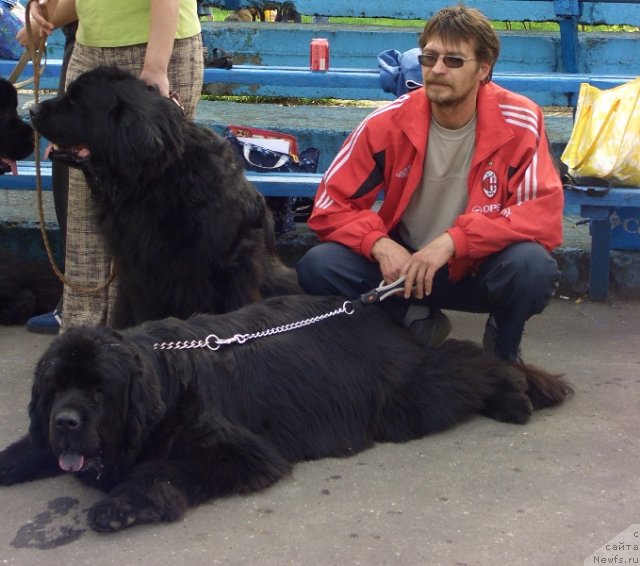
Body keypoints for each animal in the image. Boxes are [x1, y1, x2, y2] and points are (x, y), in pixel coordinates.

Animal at [0, 296, 572, 536]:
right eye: (57, 388)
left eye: (99, 390)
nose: (67, 422)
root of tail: (365, 309)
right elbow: (27, 446)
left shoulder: (240, 451)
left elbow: (161, 470)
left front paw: (121, 506)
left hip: (406, 401)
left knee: (467, 364)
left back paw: (516, 392)